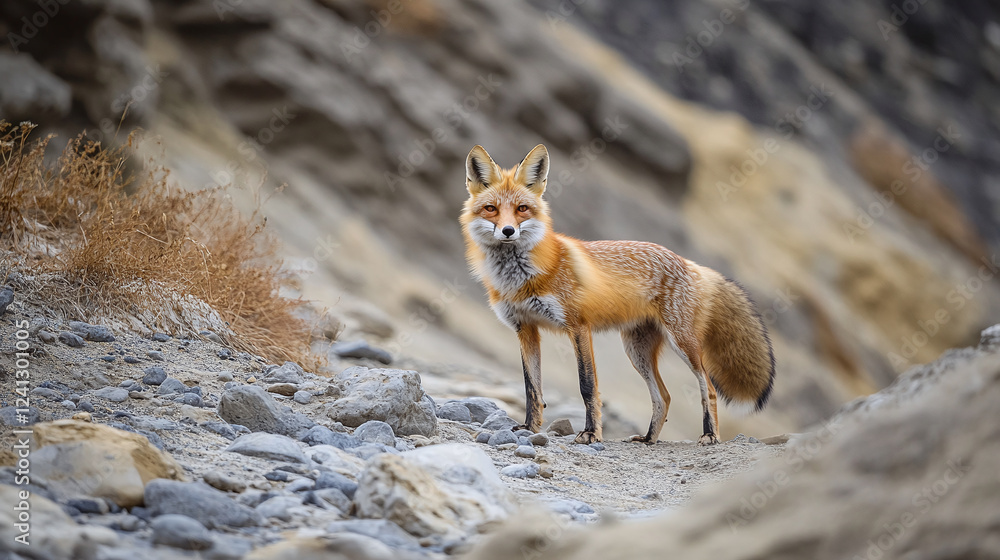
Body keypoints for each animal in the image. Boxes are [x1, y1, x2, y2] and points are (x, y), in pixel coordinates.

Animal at [460, 144, 775, 445]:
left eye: (522, 208)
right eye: (491, 209)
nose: (508, 231)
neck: (524, 277)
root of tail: (689, 263)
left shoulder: (578, 326)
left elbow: (587, 385)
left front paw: (591, 433)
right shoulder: (526, 329)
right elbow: (531, 387)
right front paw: (529, 427)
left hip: (683, 344)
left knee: (706, 387)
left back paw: (709, 435)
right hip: (636, 350)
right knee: (664, 396)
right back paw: (649, 439)